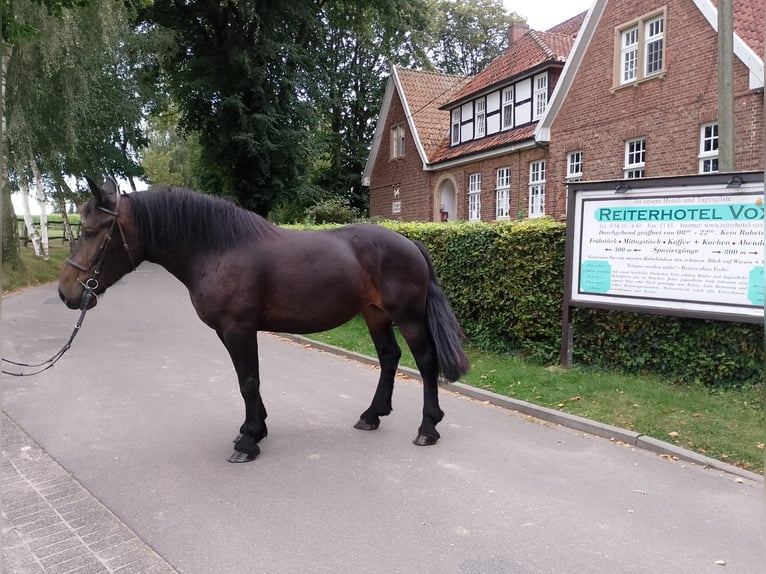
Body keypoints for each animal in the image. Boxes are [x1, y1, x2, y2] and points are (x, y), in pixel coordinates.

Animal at [57, 178, 472, 466]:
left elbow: (248, 380)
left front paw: (248, 441)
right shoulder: (229, 332)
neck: (218, 249)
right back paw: (371, 416)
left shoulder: (239, 329)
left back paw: (428, 428)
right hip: (375, 315)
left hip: (408, 318)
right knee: (389, 358)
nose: (66, 293)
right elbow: (246, 381)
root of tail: (410, 242)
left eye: (92, 232)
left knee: (426, 363)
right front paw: (253, 429)